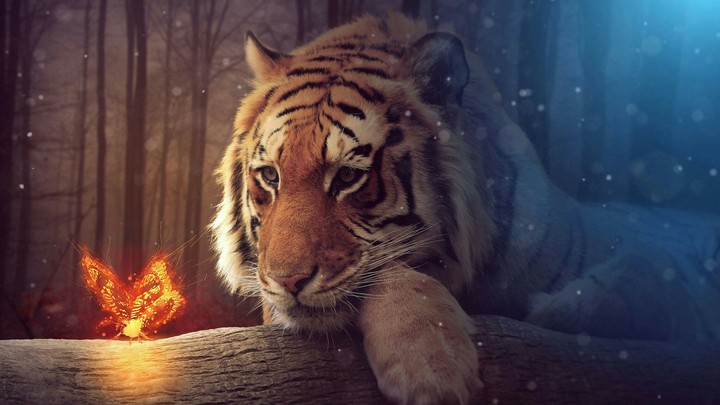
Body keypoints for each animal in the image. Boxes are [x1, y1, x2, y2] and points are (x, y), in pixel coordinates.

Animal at [210, 13, 720, 404]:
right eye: (270, 176)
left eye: (349, 177)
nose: (286, 281)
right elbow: (391, 272)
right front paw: (431, 367)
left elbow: (642, 276)